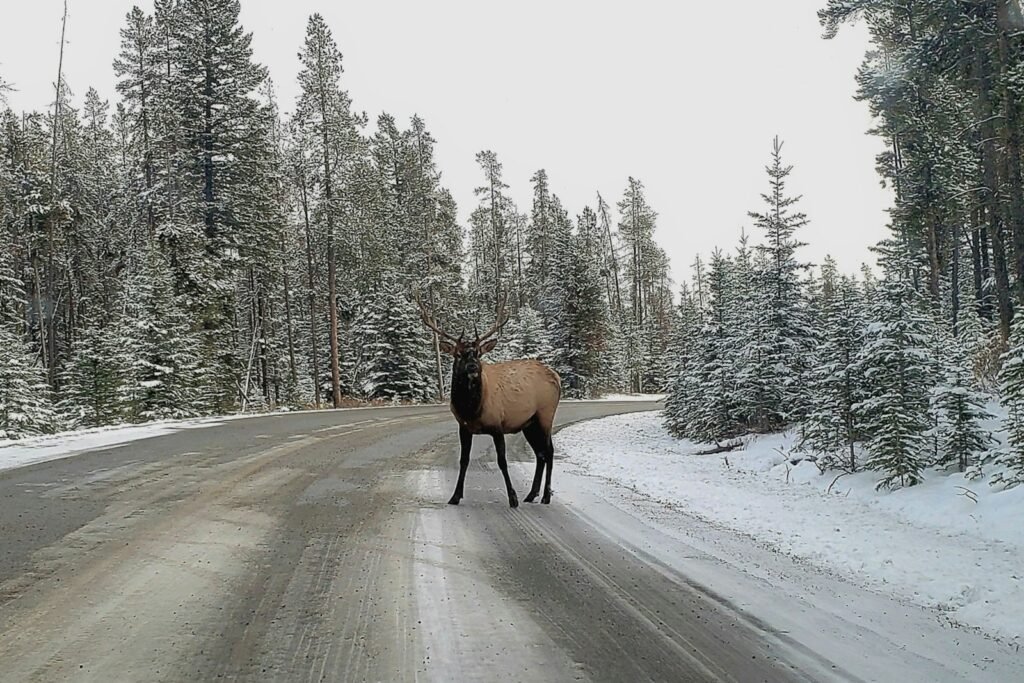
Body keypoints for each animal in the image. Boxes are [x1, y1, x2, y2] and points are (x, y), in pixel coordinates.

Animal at [417, 295, 562, 508]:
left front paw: (512, 498)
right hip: (529, 423)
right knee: (540, 453)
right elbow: (464, 460)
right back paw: (531, 494)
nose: (473, 367)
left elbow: (502, 461)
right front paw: (455, 496)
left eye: (478, 353)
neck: (472, 409)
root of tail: (557, 377)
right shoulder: (463, 427)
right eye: (458, 354)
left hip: (545, 414)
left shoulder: (497, 425)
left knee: (549, 451)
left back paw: (545, 496)